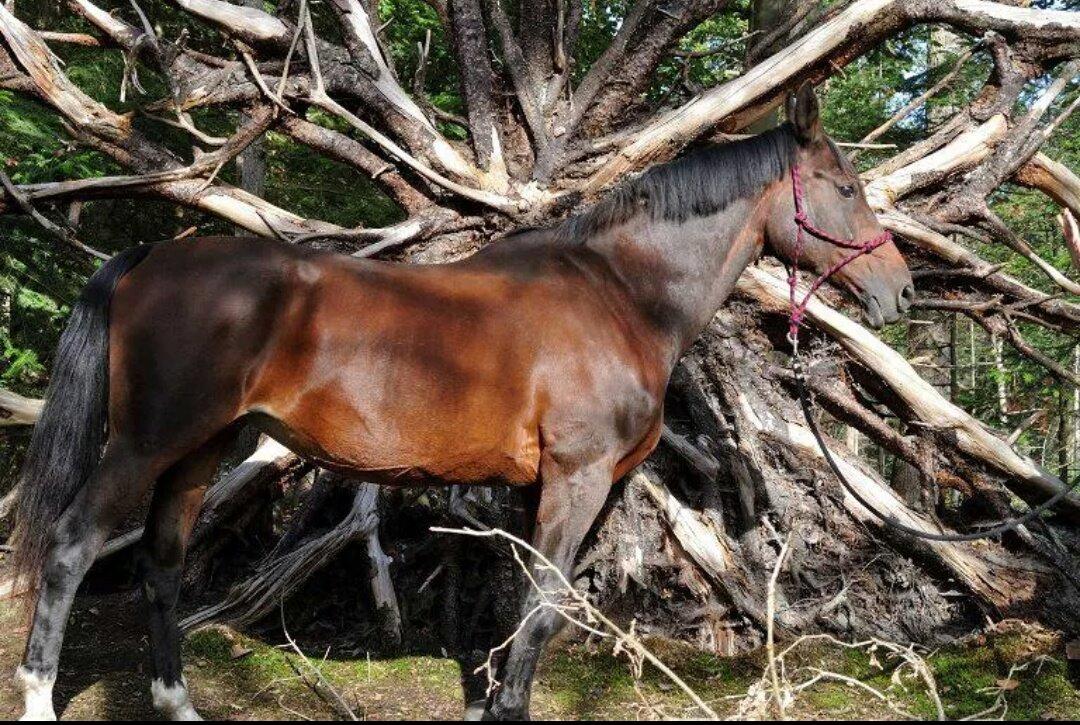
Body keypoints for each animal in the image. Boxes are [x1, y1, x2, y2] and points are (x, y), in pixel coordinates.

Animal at [12, 85, 915, 721]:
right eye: (842, 186)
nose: (900, 290)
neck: (619, 295)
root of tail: (156, 255)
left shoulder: (534, 487)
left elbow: (513, 603)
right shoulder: (577, 478)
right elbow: (544, 608)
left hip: (199, 452)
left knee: (162, 566)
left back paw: (178, 702)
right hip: (144, 444)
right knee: (71, 546)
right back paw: (38, 692)